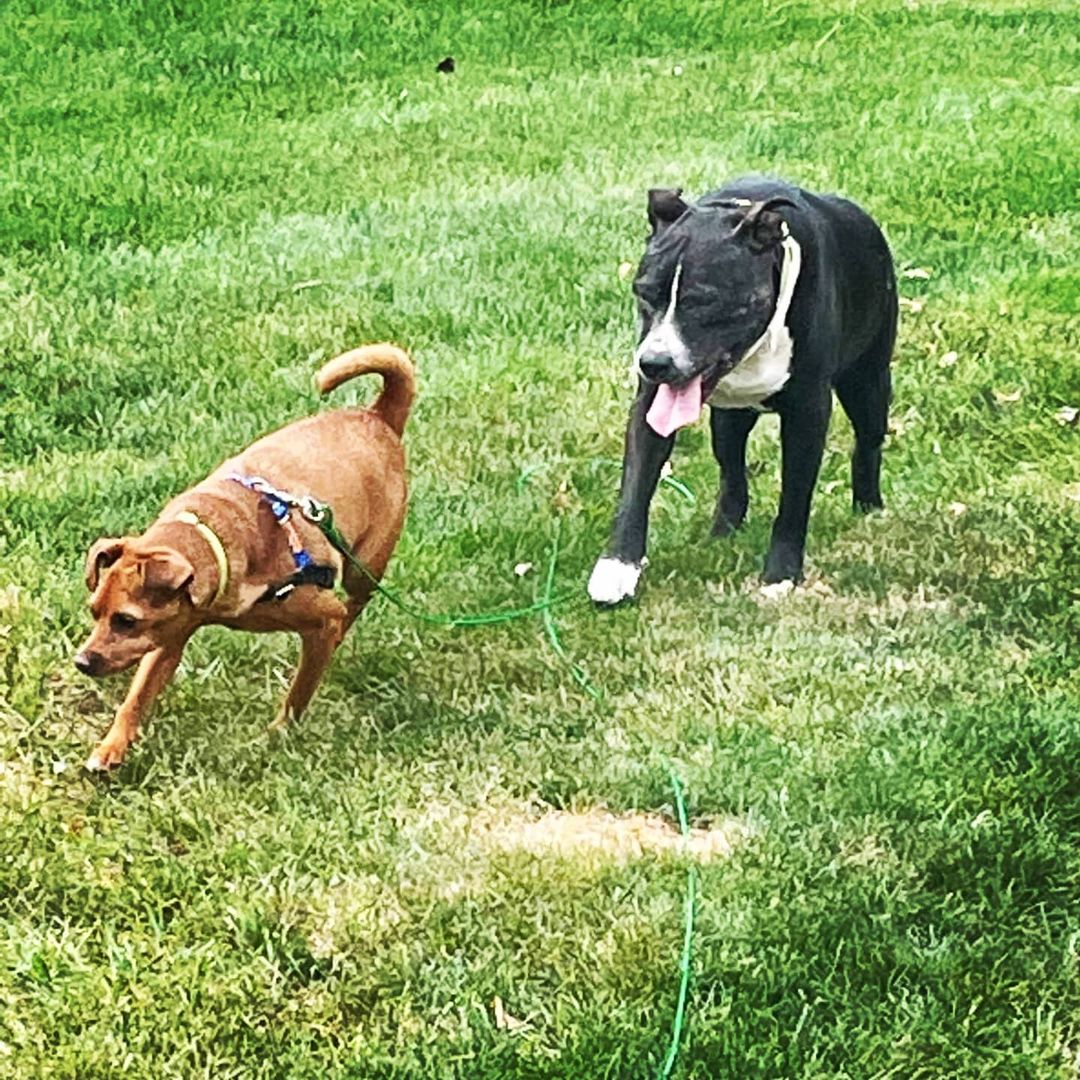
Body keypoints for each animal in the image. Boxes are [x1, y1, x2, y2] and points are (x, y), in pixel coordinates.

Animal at [73, 341, 414, 773]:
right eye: (94, 611)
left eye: (126, 621)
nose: (82, 661)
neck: (215, 538)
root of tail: (378, 416)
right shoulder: (171, 635)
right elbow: (136, 698)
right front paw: (111, 748)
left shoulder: (322, 618)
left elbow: (299, 693)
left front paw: (280, 733)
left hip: (363, 567)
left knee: (353, 605)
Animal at [587, 176, 898, 600]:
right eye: (644, 293)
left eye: (704, 301)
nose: (653, 362)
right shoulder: (651, 402)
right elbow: (636, 482)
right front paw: (617, 566)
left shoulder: (807, 413)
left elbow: (794, 498)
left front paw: (781, 572)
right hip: (729, 419)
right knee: (732, 471)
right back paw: (724, 531)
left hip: (868, 382)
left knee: (867, 442)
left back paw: (868, 507)